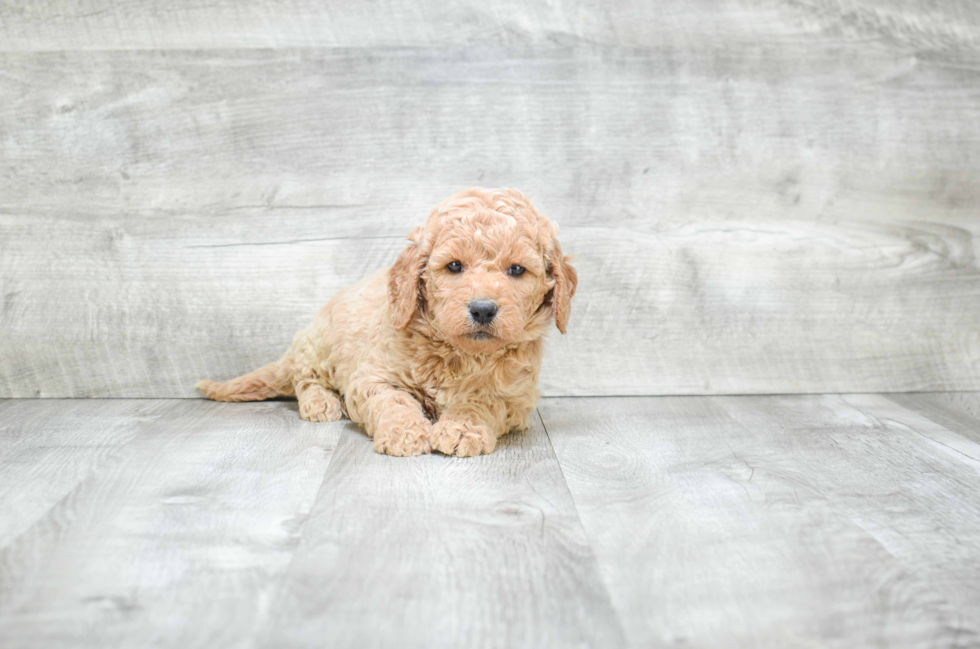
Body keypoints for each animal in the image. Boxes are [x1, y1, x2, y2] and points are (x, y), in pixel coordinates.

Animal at [199, 187, 580, 456]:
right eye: (454, 266)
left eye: (517, 270)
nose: (483, 309)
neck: (458, 355)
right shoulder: (372, 376)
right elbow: (394, 401)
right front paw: (406, 433)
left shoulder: (517, 396)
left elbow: (482, 401)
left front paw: (461, 428)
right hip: (318, 346)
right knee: (305, 379)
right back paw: (321, 403)